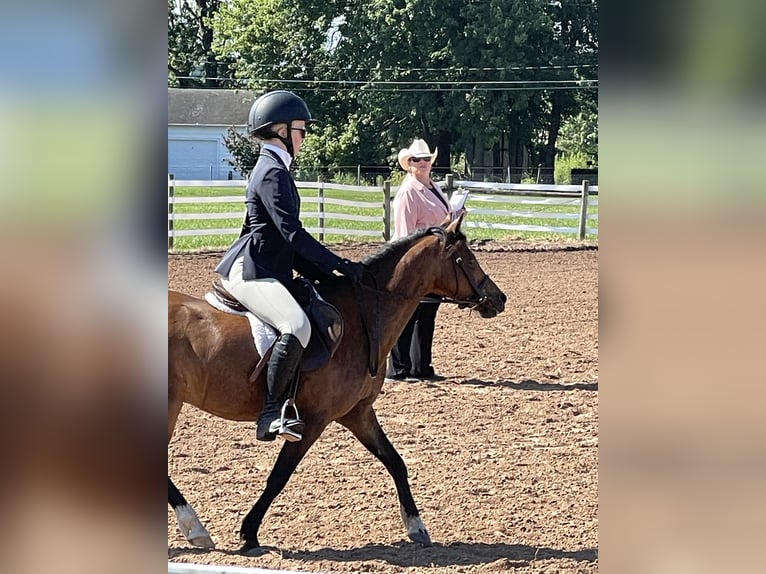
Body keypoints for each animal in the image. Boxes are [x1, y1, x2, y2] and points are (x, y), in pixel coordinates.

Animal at [166, 214, 510, 556]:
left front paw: (417, 526)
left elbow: (395, 462)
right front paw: (249, 533)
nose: (499, 298)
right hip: (170, 402)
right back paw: (196, 529)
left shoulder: (358, 413)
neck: (363, 318)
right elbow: (279, 477)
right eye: (467, 259)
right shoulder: (313, 419)